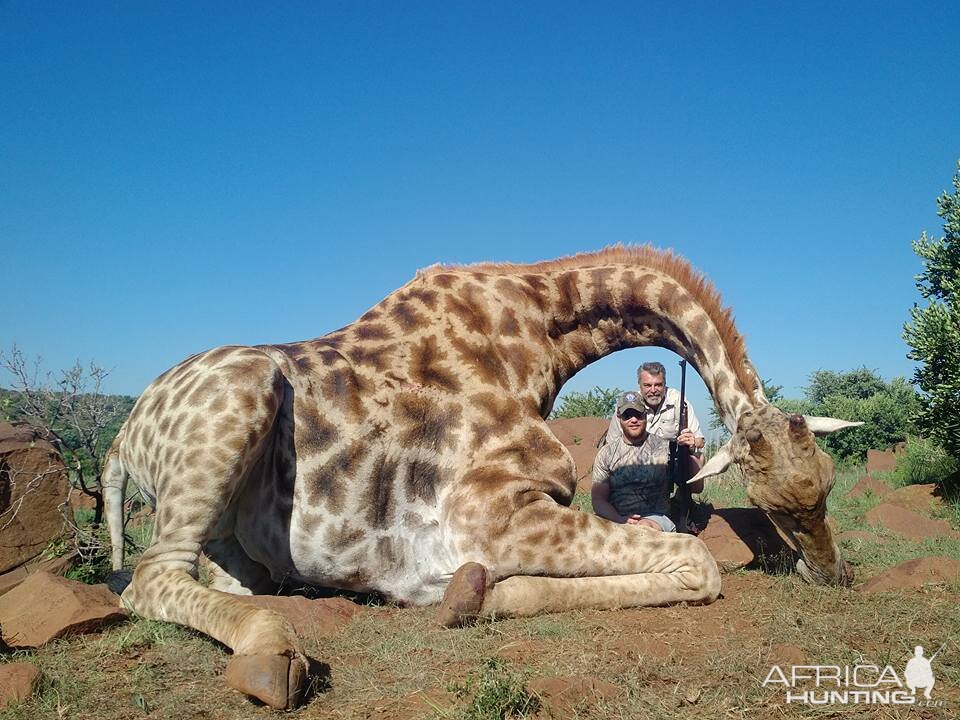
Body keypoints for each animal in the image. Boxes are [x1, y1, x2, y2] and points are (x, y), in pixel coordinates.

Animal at [105, 248, 864, 708]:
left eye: (826, 486)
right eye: (778, 506)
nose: (834, 574)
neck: (536, 337)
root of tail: (123, 434)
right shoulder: (490, 514)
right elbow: (697, 563)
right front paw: (468, 597)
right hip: (240, 396)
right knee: (150, 578)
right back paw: (271, 655)